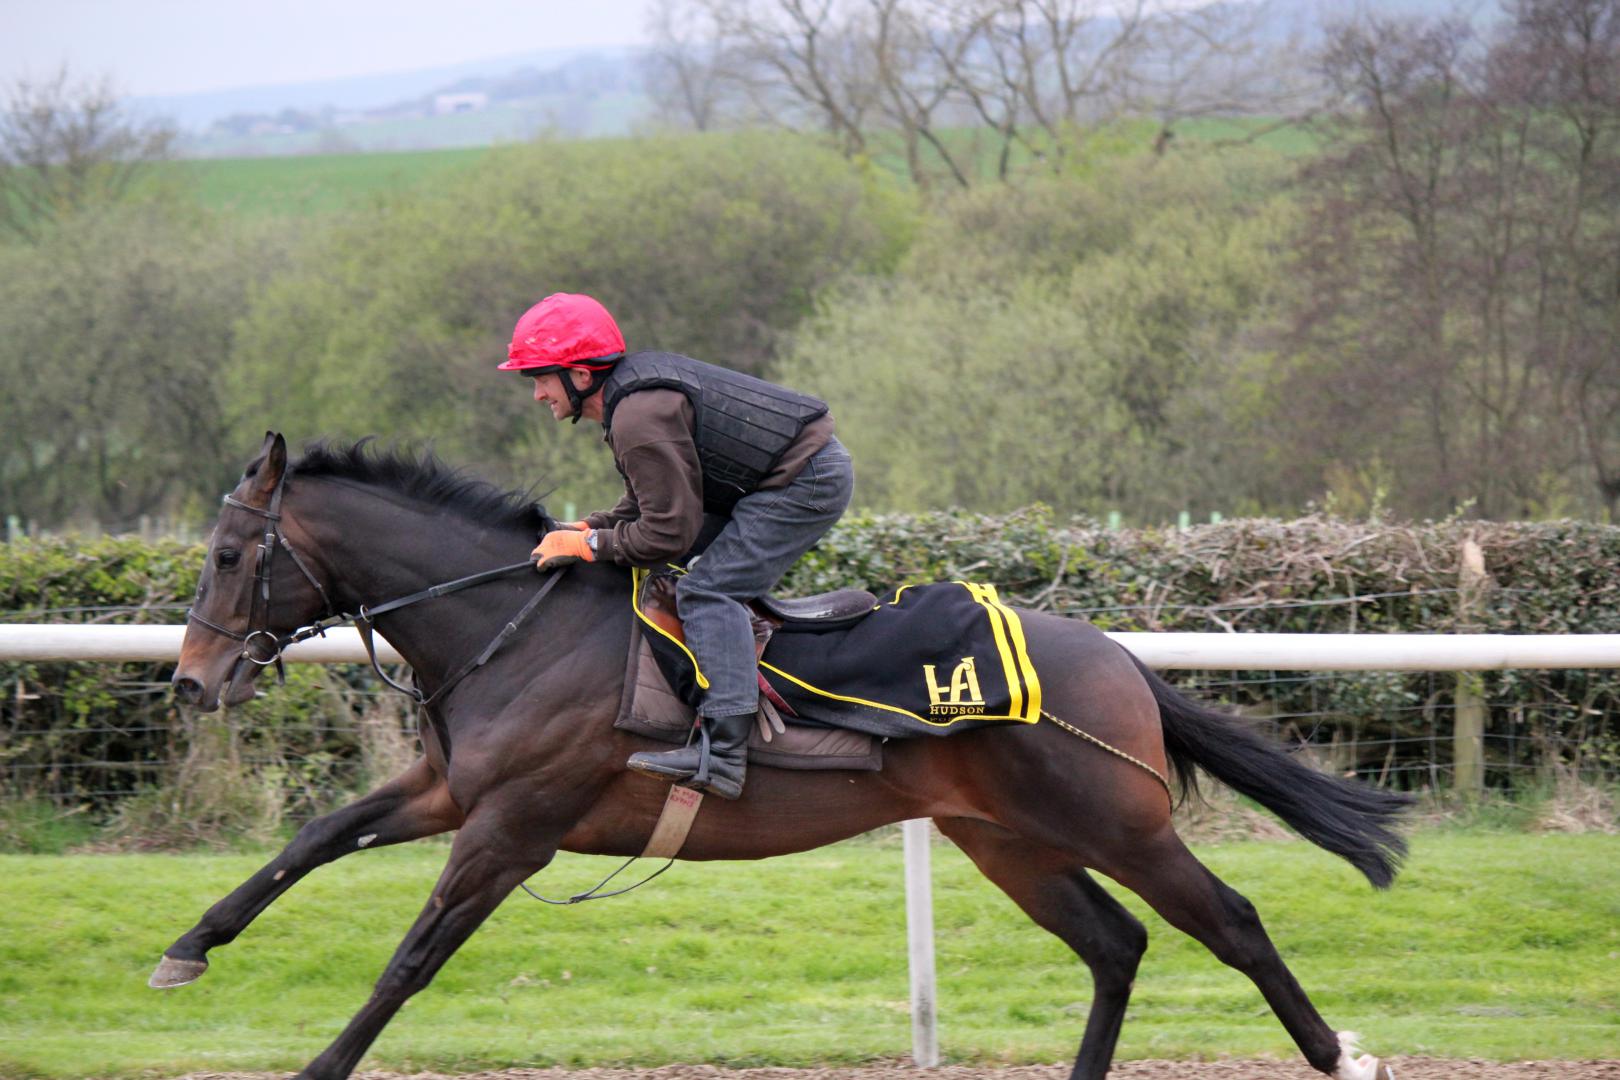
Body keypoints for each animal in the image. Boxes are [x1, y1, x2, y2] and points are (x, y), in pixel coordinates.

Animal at [162, 433, 1409, 1080]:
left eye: (227, 553)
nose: (190, 681)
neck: (514, 625)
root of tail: (1119, 659)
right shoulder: (449, 789)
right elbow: (314, 839)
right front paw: (187, 947)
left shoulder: (514, 827)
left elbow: (411, 958)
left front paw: (318, 1067)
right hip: (1005, 838)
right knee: (1116, 944)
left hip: (1118, 821)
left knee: (1228, 921)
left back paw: (1342, 1055)